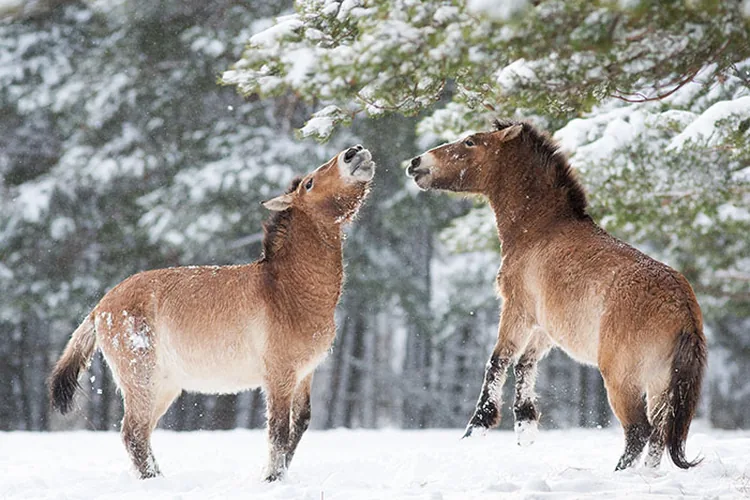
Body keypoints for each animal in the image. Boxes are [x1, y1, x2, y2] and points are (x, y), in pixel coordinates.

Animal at [49, 145, 375, 481]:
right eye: (309, 183)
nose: (353, 152)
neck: (288, 291)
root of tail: (100, 307)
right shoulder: (279, 376)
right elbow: (278, 431)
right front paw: (271, 479)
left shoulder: (304, 374)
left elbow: (299, 427)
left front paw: (279, 476)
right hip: (142, 380)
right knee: (134, 433)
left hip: (163, 386)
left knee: (141, 433)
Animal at [407, 120, 707, 471]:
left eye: (470, 141)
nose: (416, 163)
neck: (539, 229)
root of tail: (682, 308)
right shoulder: (546, 326)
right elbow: (525, 363)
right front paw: (525, 428)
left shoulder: (517, 310)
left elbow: (499, 360)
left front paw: (477, 427)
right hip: (660, 383)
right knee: (659, 435)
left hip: (623, 379)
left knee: (639, 431)